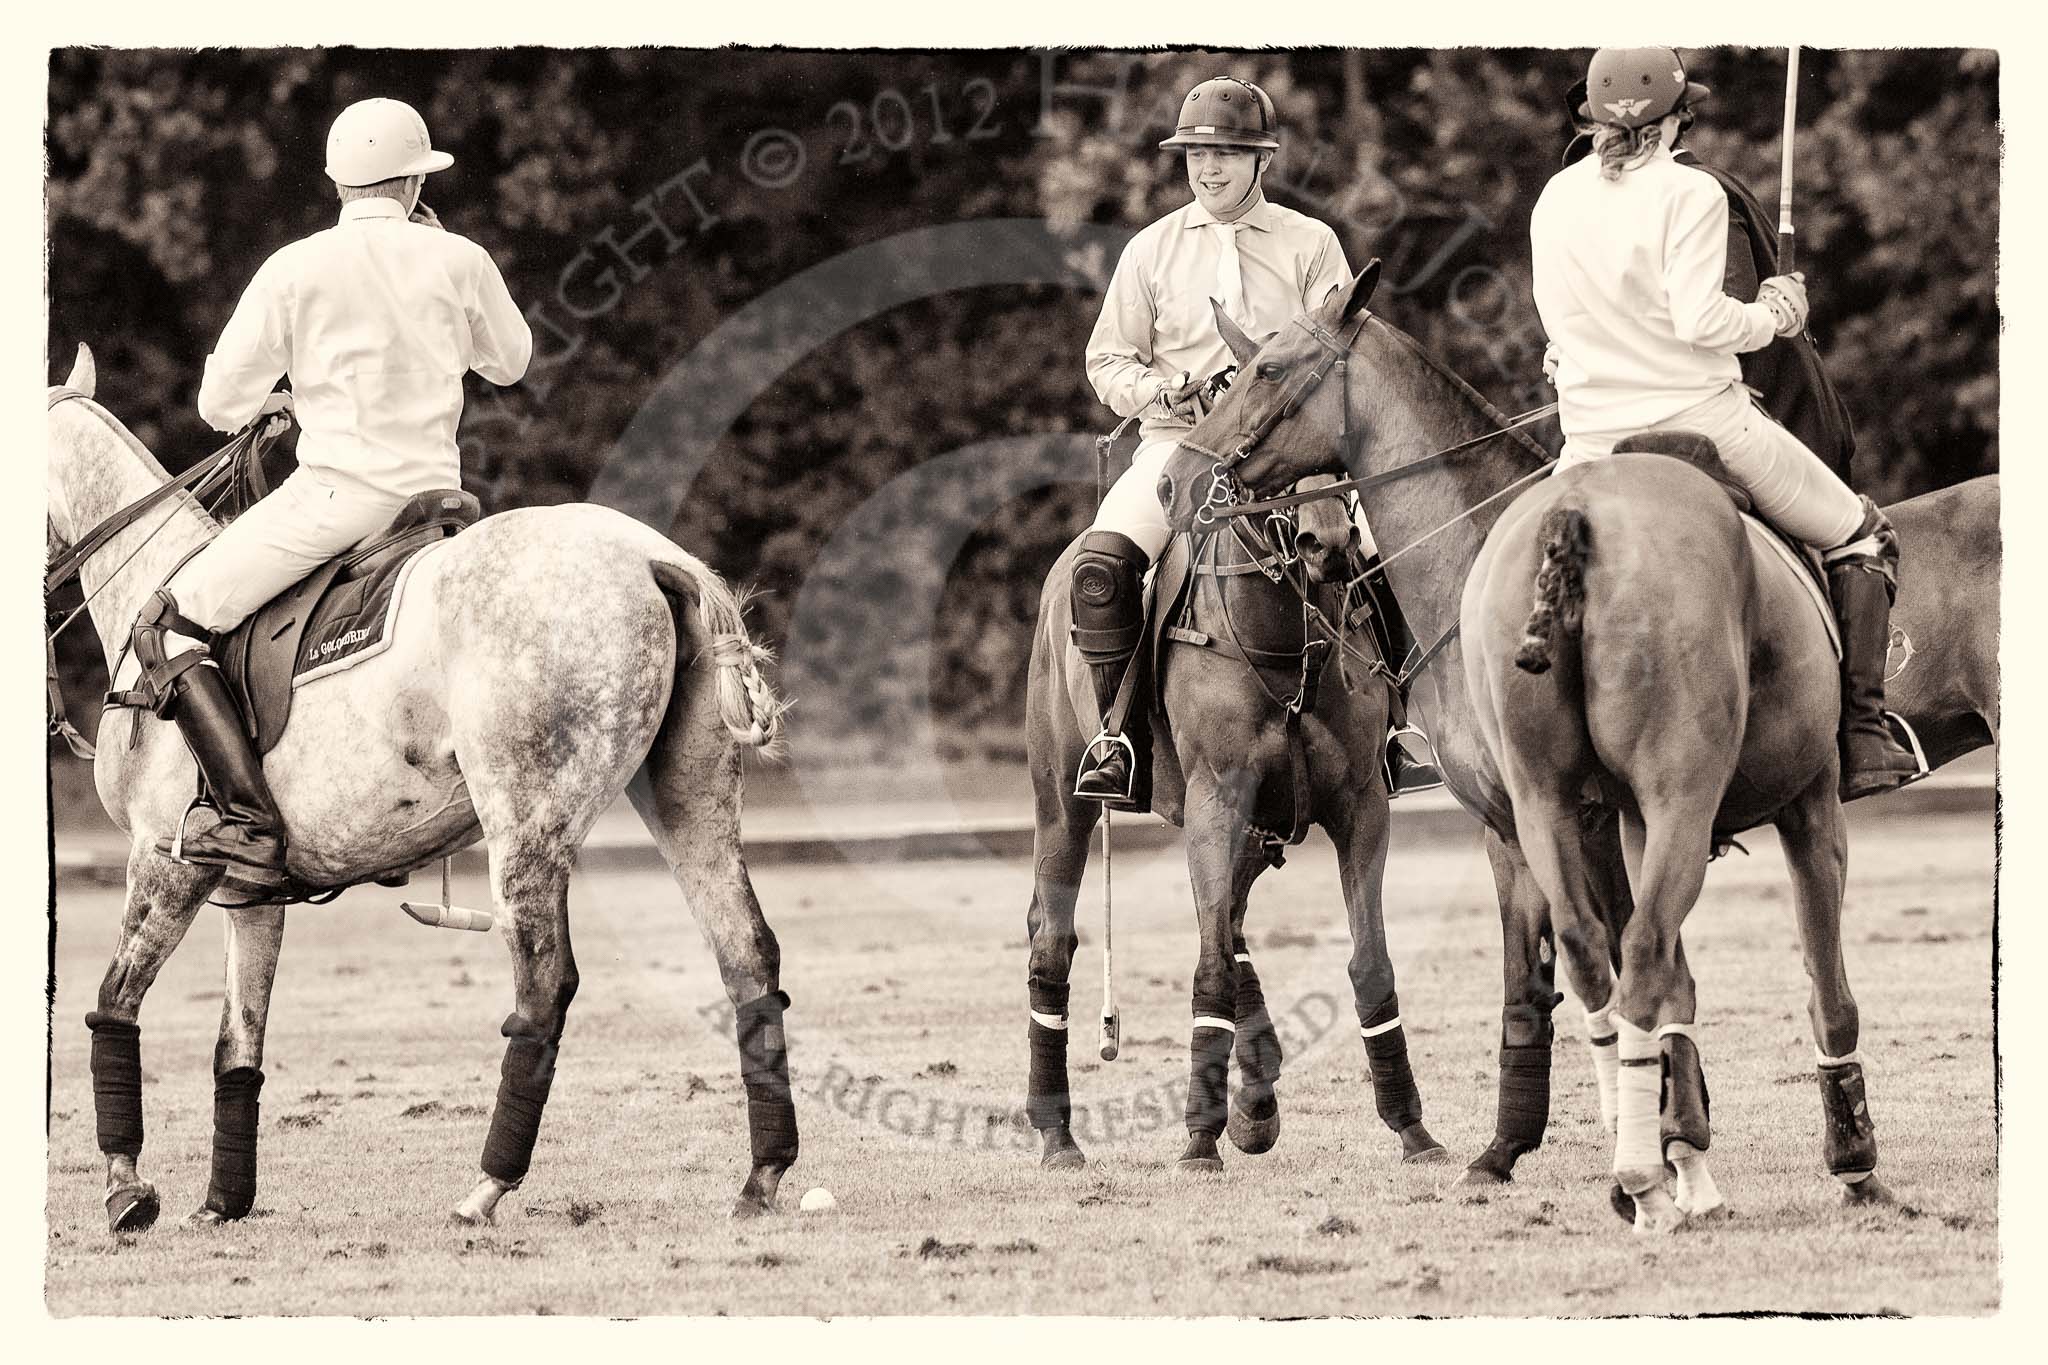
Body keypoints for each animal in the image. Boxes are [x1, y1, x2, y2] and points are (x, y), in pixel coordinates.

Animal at [48, 347, 798, 1236]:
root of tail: (656, 558)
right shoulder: (251, 887)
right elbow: (238, 1042)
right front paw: (222, 1202)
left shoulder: (165, 858)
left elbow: (113, 1002)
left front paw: (126, 1189)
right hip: (690, 795)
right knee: (745, 950)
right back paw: (761, 1177)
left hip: (527, 820)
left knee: (546, 984)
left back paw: (486, 1187)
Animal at [1171, 263, 1998, 1227]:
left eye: (1268, 370)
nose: (1180, 480)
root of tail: (1577, 525)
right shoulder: (1578, 816)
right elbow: (1628, 972)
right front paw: (1666, 1148)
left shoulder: (1569, 818)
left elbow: (1600, 973)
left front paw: (1659, 1146)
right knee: (1624, 954)